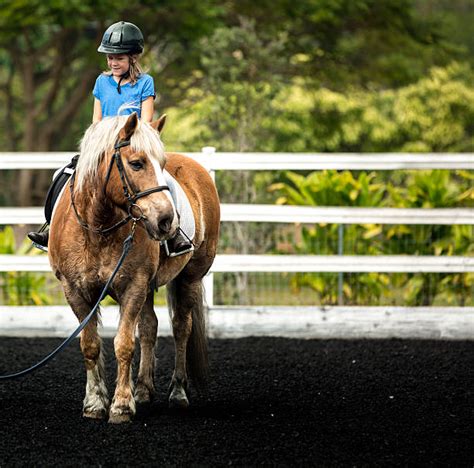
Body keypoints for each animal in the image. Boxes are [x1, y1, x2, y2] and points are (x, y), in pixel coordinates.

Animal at [47, 113, 220, 424]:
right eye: (137, 163)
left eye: (162, 165)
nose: (167, 220)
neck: (98, 228)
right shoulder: (75, 291)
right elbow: (90, 344)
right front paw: (95, 403)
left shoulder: (133, 286)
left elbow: (124, 344)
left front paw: (121, 406)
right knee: (150, 326)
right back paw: (142, 389)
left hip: (190, 277)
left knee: (181, 328)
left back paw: (177, 393)